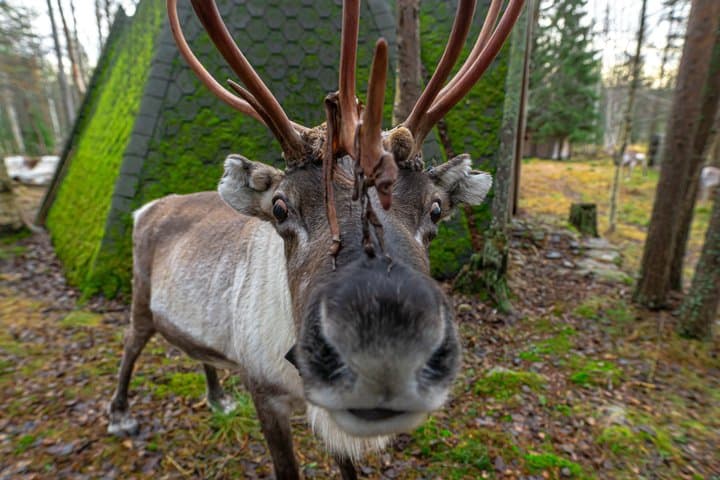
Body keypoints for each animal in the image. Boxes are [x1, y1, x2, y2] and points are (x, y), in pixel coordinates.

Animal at [107, 0, 525, 478]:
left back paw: (217, 397)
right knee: (131, 343)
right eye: (280, 208)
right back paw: (120, 415)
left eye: (435, 209)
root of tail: (147, 208)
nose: (384, 360)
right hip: (141, 298)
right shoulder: (264, 392)